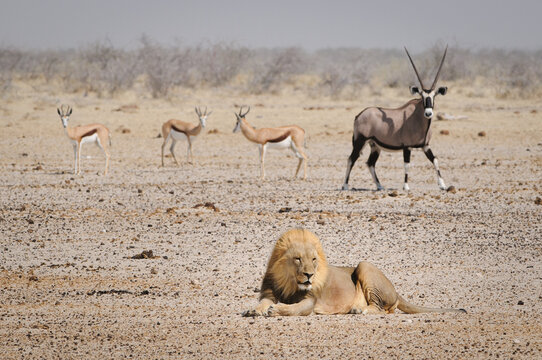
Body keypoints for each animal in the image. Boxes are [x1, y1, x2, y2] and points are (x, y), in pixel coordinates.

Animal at [243, 229, 468, 316]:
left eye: (314, 260)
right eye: (298, 259)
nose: (309, 275)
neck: (290, 281)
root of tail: (396, 291)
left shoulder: (311, 301)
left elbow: (295, 309)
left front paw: (276, 310)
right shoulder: (269, 292)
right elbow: (263, 302)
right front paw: (254, 309)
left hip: (364, 265)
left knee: (382, 309)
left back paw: (360, 309)